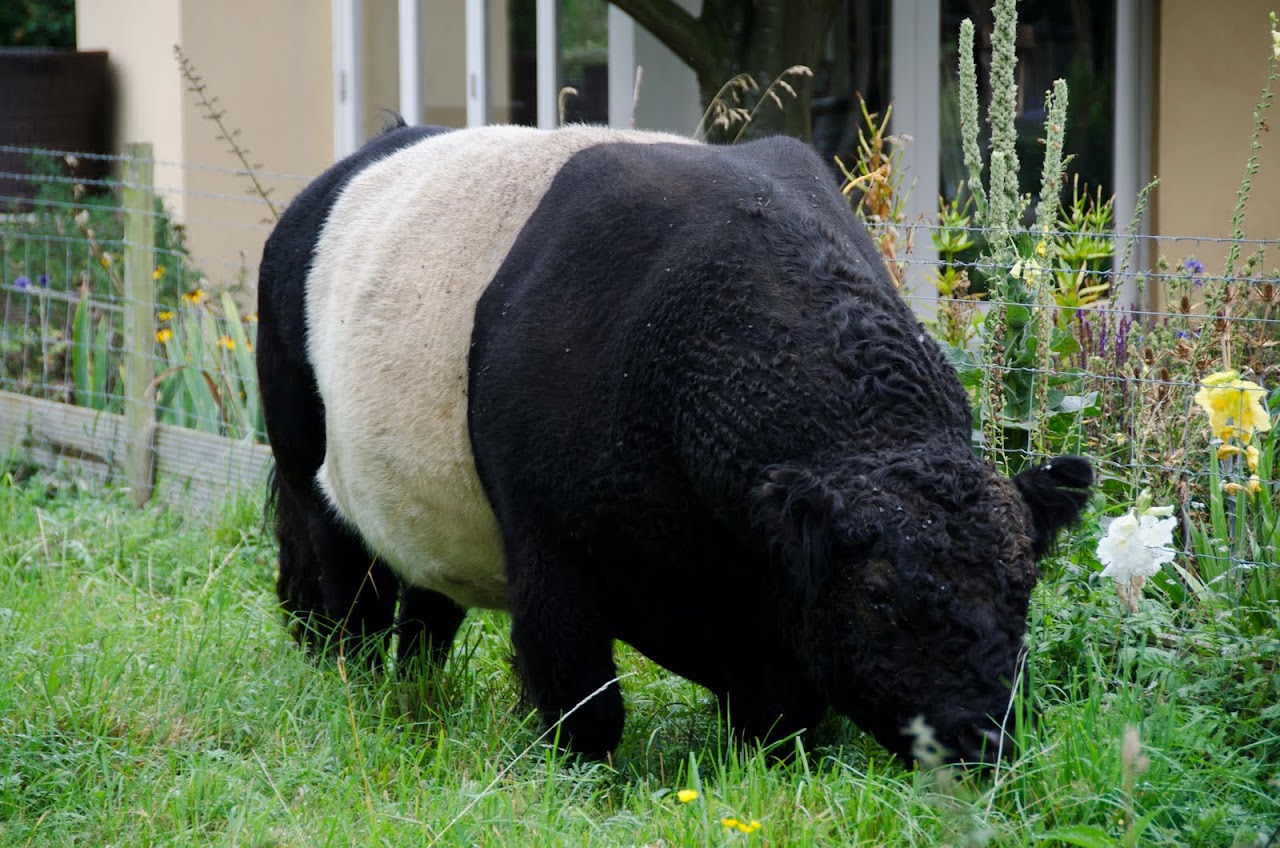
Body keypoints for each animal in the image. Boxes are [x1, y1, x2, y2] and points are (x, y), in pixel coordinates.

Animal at [255, 121, 1092, 764]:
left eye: (1025, 584)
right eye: (879, 597)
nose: (986, 735)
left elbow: (781, 719)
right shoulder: (549, 553)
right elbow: (585, 711)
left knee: (425, 613)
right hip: (310, 473)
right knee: (351, 609)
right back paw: (366, 696)